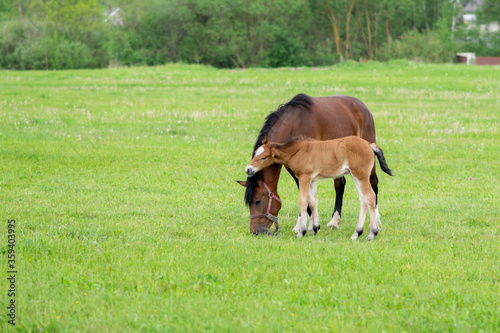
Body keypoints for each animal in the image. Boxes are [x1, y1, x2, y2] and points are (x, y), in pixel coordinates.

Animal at [236, 92, 376, 233]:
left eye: (257, 201)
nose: (255, 232)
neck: (294, 124)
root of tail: (361, 106)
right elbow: (308, 196)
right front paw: (310, 225)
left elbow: (306, 196)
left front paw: (305, 226)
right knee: (340, 185)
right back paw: (335, 221)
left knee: (373, 182)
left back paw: (374, 221)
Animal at [244, 136, 392, 240]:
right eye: (255, 153)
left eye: (264, 157)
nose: (248, 169)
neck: (297, 151)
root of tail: (369, 145)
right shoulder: (312, 179)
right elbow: (313, 201)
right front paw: (314, 228)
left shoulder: (304, 177)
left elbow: (303, 202)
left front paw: (301, 232)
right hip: (355, 176)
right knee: (363, 200)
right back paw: (356, 233)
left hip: (360, 175)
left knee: (370, 197)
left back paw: (372, 233)